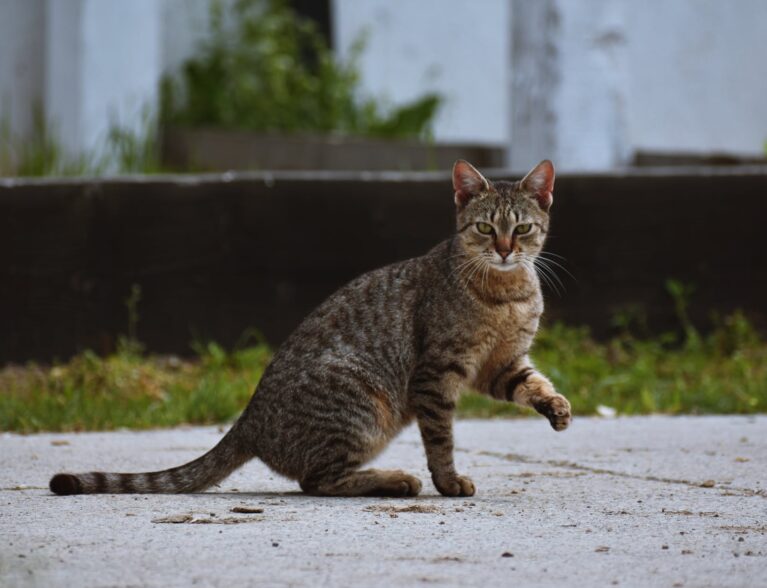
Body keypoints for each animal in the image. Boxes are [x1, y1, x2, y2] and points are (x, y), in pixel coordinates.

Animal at [49, 160, 568, 496]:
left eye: (522, 229)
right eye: (484, 228)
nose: (504, 249)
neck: (506, 294)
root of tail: (249, 419)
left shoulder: (500, 364)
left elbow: (531, 383)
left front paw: (556, 406)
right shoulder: (437, 372)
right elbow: (440, 438)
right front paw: (447, 481)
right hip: (362, 405)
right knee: (316, 481)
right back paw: (395, 481)